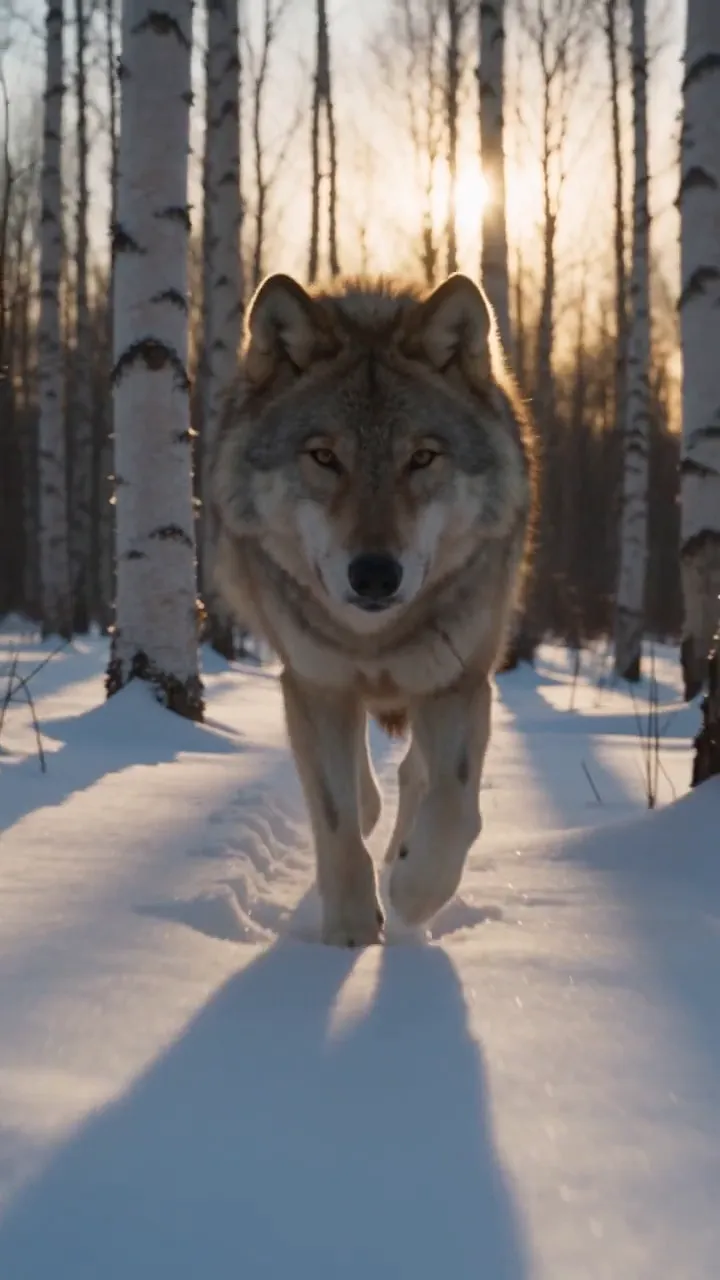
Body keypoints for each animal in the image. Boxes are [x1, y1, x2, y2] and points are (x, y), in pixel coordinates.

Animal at [212, 271, 535, 946]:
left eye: (422, 457)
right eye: (325, 457)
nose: (375, 574)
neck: (376, 637)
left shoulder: (457, 681)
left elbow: (455, 807)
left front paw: (412, 892)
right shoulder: (316, 683)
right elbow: (336, 819)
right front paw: (350, 933)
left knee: (416, 777)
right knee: (366, 794)